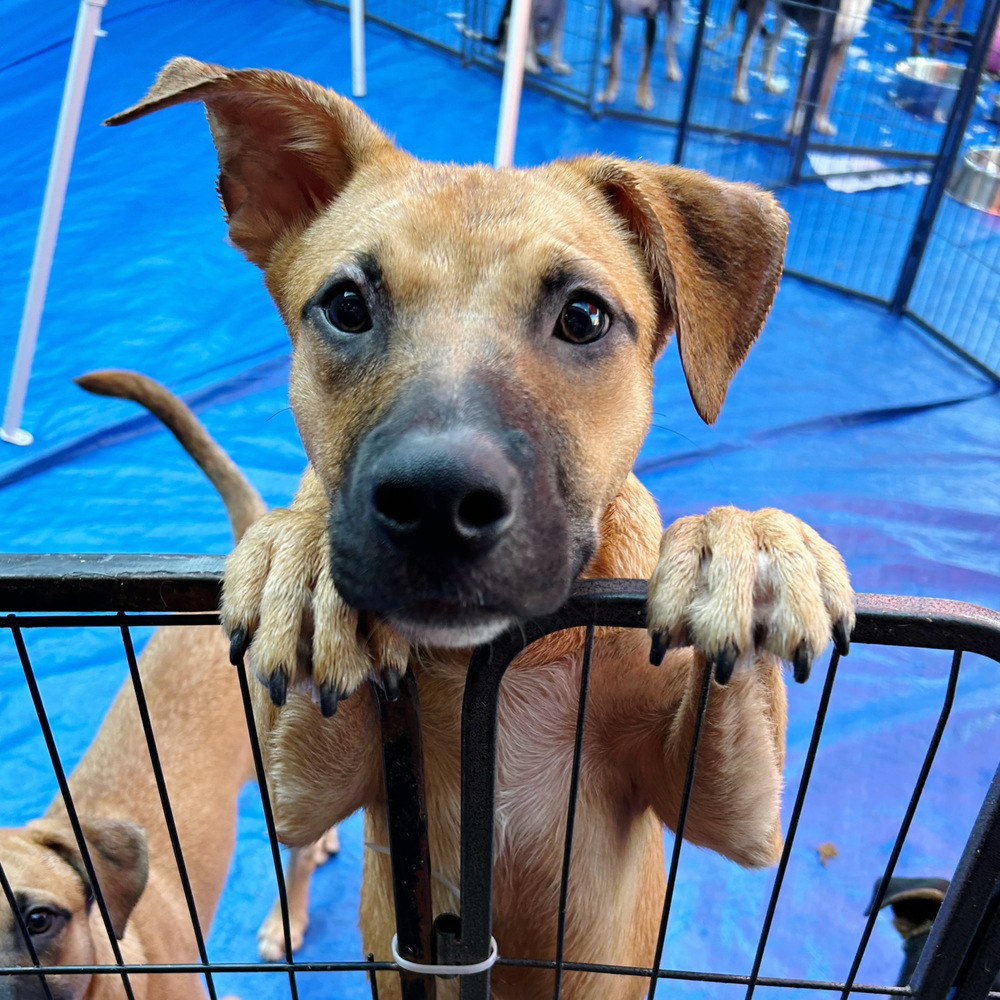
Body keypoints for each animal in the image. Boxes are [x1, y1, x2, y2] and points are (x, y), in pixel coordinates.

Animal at [105, 56, 856, 1000]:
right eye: (346, 305)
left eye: (583, 316)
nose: (437, 503)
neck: (492, 671)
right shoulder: (318, 787)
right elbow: (308, 787)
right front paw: (299, 560)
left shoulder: (733, 813)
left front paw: (747, 546)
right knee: (300, 848)